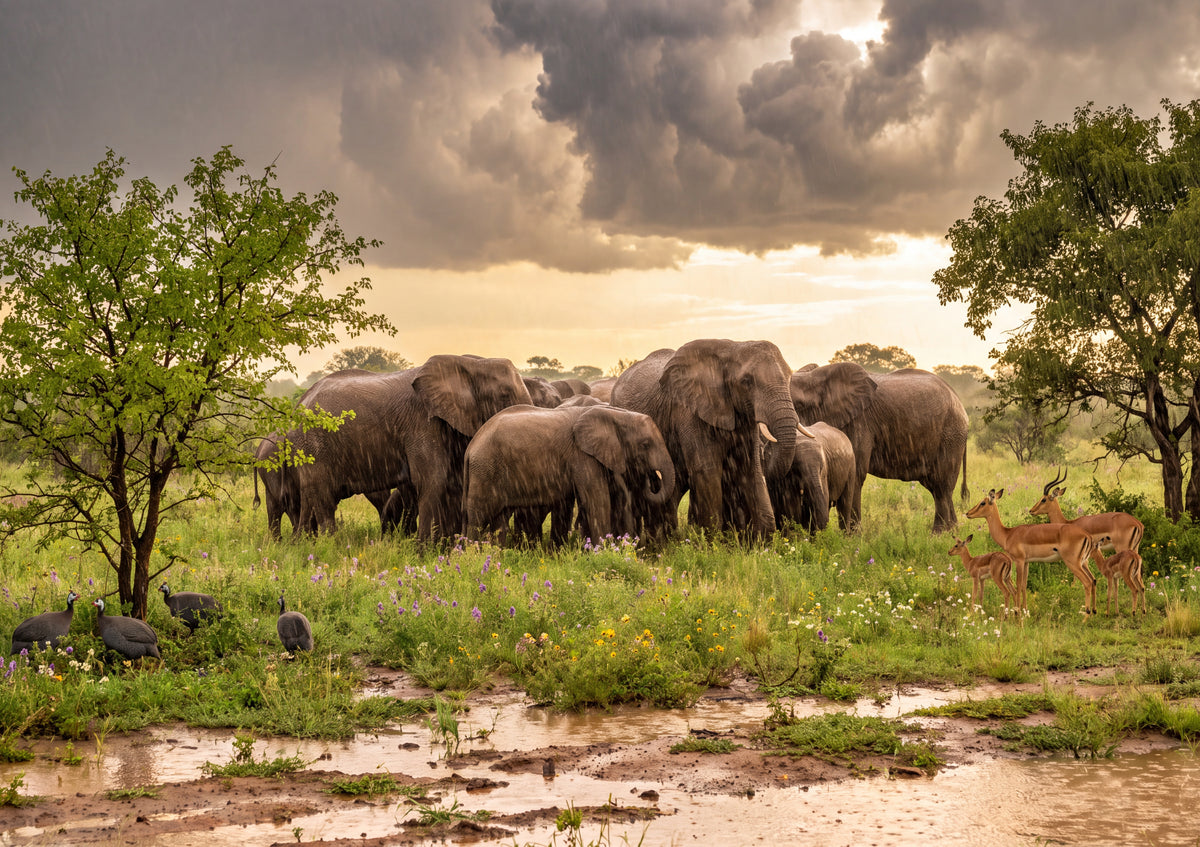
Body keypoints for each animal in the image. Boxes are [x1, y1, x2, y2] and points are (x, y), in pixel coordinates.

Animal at [288, 355, 532, 541]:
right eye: (504, 395)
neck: (470, 363)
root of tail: (300, 402)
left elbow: (452, 483)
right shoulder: (422, 422)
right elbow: (433, 480)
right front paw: (424, 550)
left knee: (310, 496)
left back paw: (301, 545)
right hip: (315, 445)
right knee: (324, 497)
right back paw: (332, 545)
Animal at [464, 404, 675, 547]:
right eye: (645, 444)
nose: (650, 477)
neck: (616, 414)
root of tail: (470, 448)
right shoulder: (582, 456)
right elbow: (598, 500)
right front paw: (602, 550)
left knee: (499, 519)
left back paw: (497, 554)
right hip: (485, 471)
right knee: (477, 518)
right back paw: (473, 555)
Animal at [610, 338, 810, 540]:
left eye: (789, 378)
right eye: (746, 381)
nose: (767, 447)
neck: (733, 348)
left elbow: (751, 468)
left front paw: (762, 543)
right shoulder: (689, 411)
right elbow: (707, 470)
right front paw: (712, 542)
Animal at [789, 364, 969, 533]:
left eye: (799, 405)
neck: (817, 377)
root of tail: (960, 403)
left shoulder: (859, 422)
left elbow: (856, 473)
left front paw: (853, 538)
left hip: (950, 435)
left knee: (941, 486)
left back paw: (938, 535)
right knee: (936, 486)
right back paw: (952, 532)